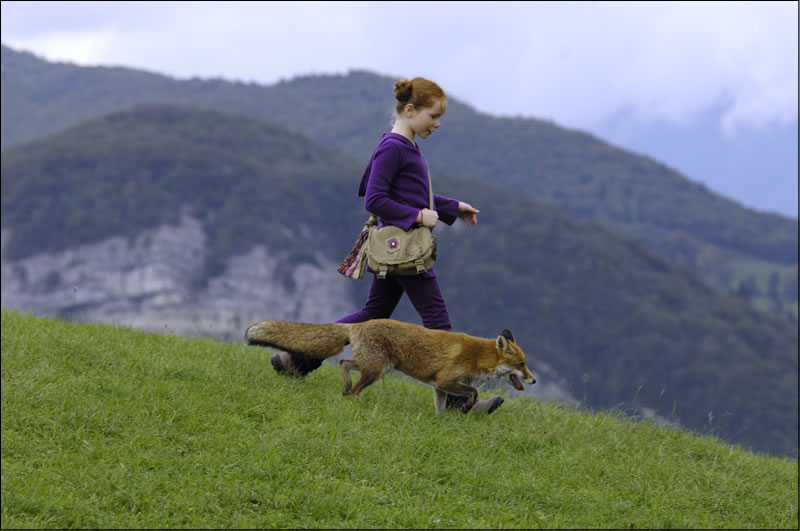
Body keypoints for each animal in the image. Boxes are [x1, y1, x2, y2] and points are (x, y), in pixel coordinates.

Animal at [244, 318, 536, 414]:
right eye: (521, 364)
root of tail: (358, 324)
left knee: (343, 363)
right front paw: (465, 409)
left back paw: (345, 388)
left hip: (374, 367)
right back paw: (356, 404)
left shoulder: (438, 387)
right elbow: (473, 393)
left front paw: (445, 422)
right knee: (355, 388)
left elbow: (441, 410)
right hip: (376, 371)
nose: (534, 380)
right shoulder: (446, 381)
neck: (478, 356)